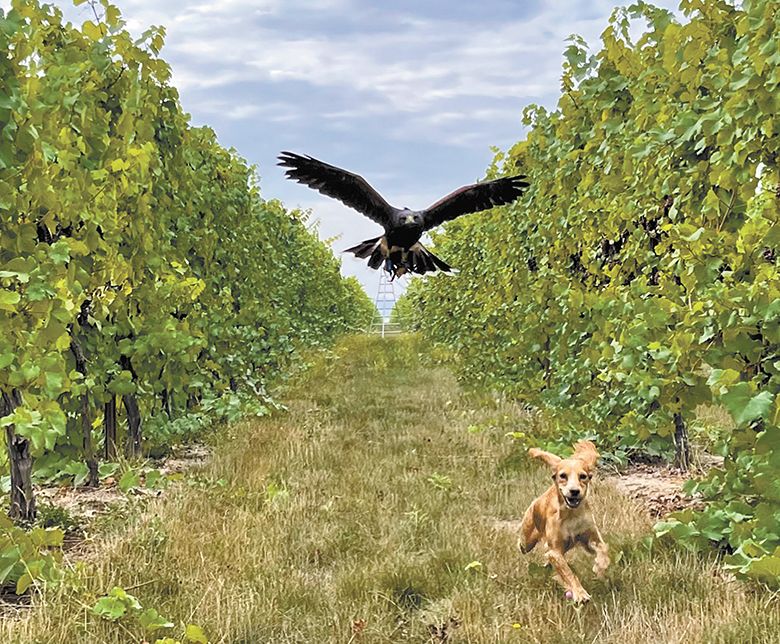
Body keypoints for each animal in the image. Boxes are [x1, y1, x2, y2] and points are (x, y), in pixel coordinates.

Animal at [516, 440, 608, 600]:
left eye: (583, 476)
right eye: (563, 475)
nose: (574, 491)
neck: (571, 515)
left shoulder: (590, 538)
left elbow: (603, 551)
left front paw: (599, 568)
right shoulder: (555, 551)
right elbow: (568, 572)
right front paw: (580, 593)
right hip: (527, 540)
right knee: (523, 545)